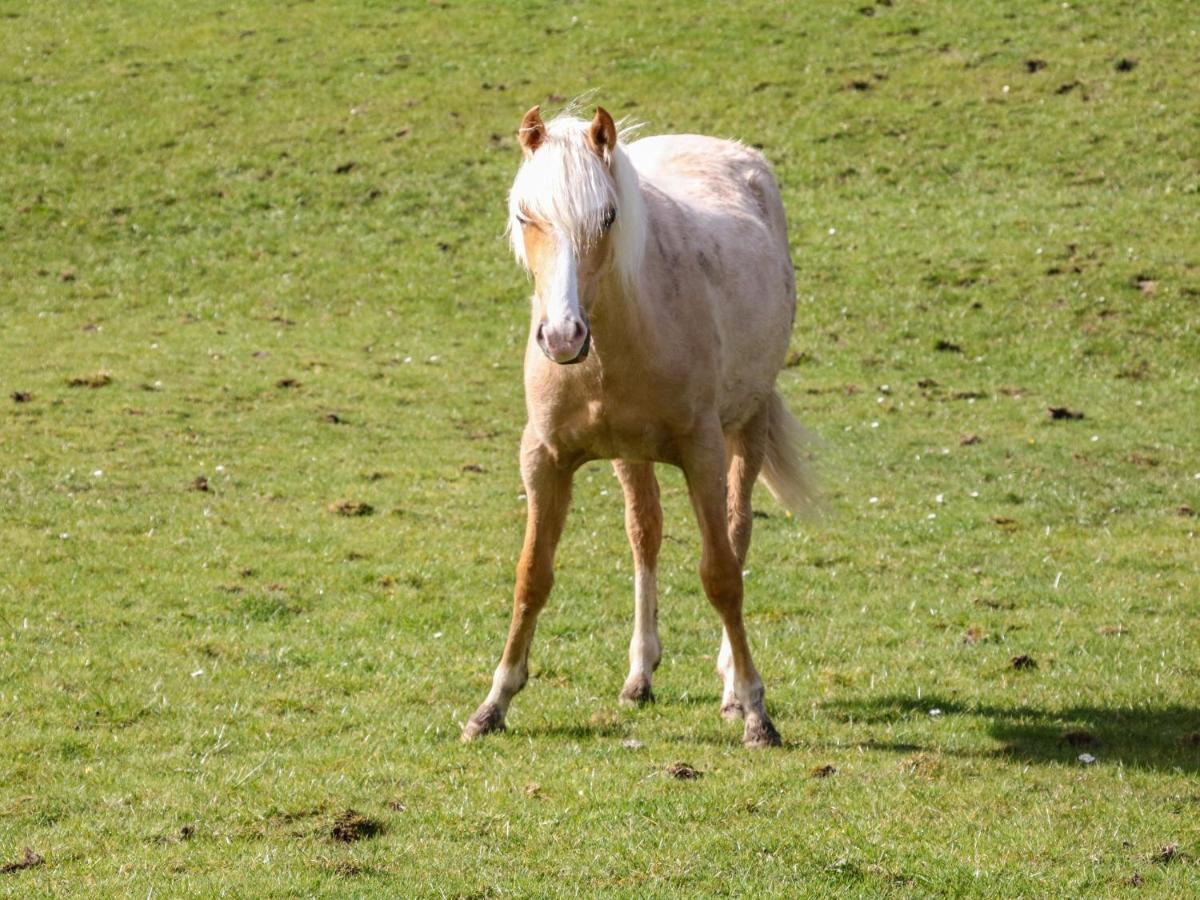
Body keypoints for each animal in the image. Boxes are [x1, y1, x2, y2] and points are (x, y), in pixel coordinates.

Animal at [460, 103, 816, 748]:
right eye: (526, 214)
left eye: (608, 215)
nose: (562, 337)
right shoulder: (544, 458)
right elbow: (532, 576)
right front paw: (492, 704)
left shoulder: (702, 452)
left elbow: (721, 575)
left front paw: (756, 710)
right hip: (632, 453)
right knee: (644, 535)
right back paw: (640, 674)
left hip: (746, 426)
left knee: (736, 532)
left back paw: (730, 685)